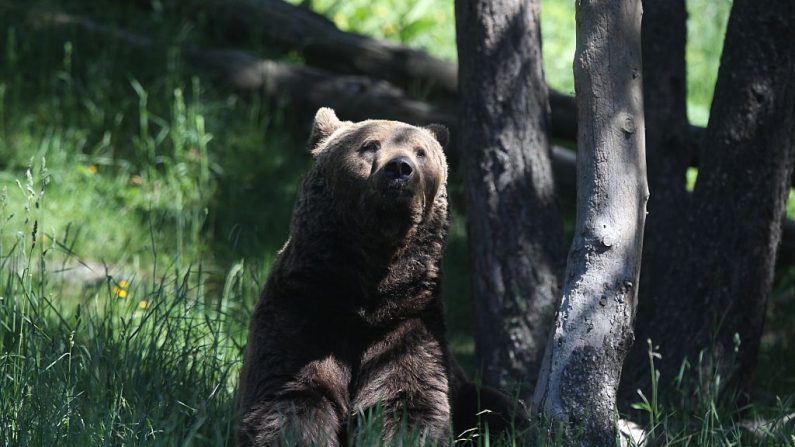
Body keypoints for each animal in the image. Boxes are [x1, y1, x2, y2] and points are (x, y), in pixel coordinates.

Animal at [238, 109, 454, 447]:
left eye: (421, 152)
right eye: (370, 145)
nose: (400, 168)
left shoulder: (408, 320)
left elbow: (408, 397)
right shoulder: (305, 306)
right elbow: (292, 391)